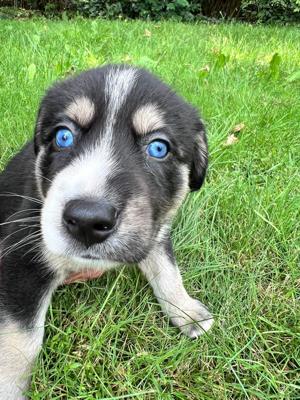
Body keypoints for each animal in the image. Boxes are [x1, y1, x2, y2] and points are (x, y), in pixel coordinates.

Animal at [0, 64, 213, 398]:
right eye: (63, 136)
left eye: (159, 147)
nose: (87, 220)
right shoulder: (21, 252)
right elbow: (20, 341)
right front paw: (8, 388)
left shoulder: (153, 230)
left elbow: (167, 270)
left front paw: (187, 310)